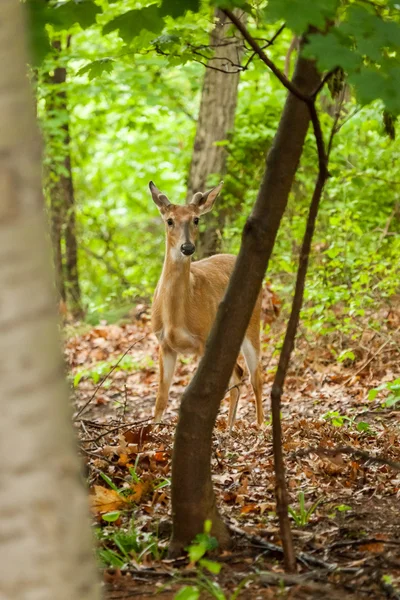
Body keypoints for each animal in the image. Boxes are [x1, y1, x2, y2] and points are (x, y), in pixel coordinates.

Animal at [148, 180, 264, 428]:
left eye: (196, 219)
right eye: (169, 220)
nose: (187, 247)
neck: (175, 318)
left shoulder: (203, 340)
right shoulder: (164, 343)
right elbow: (161, 398)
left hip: (253, 322)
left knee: (255, 375)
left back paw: (260, 426)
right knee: (238, 374)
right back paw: (229, 429)